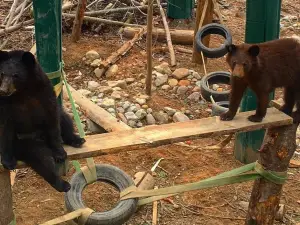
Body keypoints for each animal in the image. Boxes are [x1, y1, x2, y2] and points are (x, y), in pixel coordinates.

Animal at [0, 50, 85, 192]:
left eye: (15, 75)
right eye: (2, 74)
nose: (3, 90)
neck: (23, 92)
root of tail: (41, 137)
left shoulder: (45, 92)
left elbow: (53, 118)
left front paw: (60, 153)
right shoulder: (5, 104)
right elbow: (5, 127)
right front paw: (7, 161)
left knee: (64, 119)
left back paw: (77, 140)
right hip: (25, 142)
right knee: (42, 159)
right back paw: (63, 184)